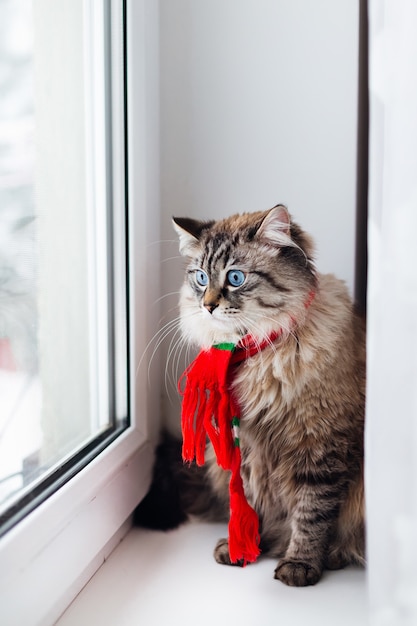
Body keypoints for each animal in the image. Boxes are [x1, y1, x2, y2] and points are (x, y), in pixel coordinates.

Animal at [134, 204, 364, 584]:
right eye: (201, 278)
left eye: (236, 278)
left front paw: (299, 564)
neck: (259, 356)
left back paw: (334, 556)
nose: (208, 306)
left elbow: (311, 515)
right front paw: (244, 547)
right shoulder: (248, 451)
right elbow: (249, 506)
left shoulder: (320, 446)